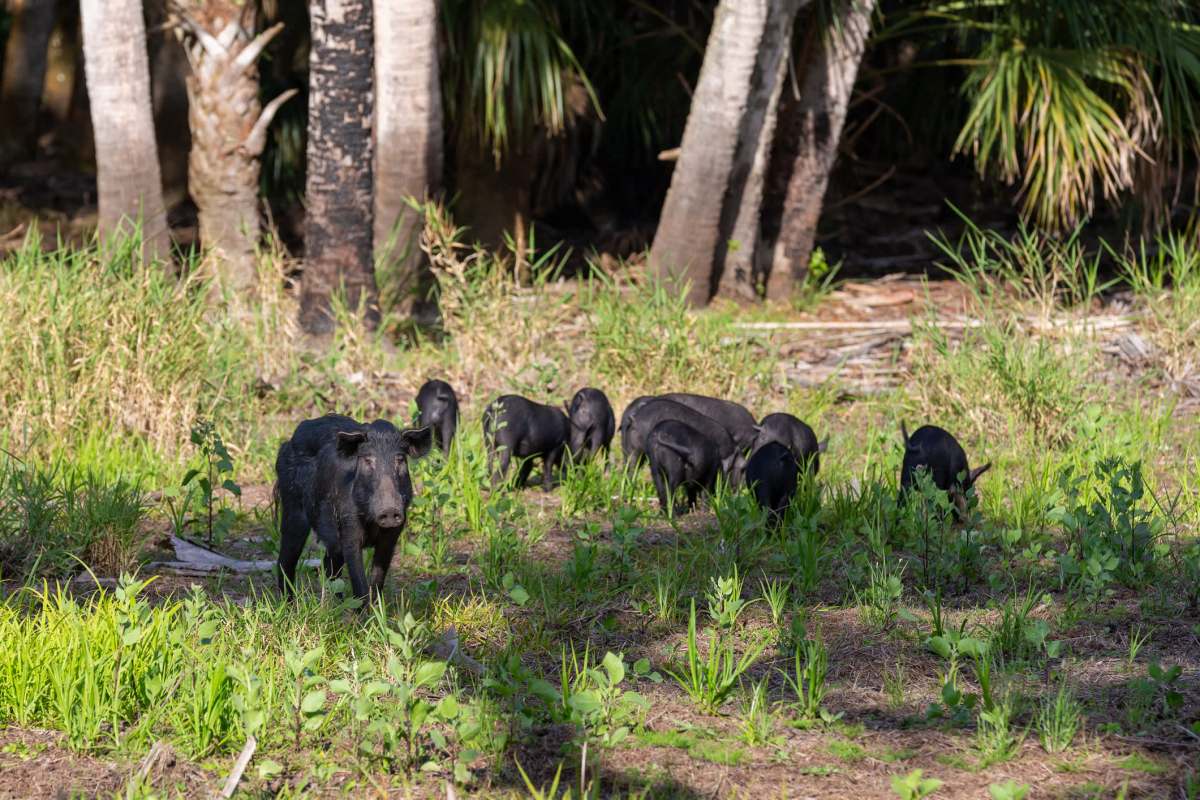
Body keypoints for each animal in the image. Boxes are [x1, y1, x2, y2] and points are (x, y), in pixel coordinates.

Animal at [275, 414, 432, 601]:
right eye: (367, 460)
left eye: (400, 459)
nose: (389, 509)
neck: (372, 523)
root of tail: (288, 442)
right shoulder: (349, 529)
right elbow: (359, 584)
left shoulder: (392, 536)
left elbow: (377, 580)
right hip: (292, 508)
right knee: (285, 560)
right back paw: (289, 602)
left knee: (330, 566)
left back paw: (337, 602)